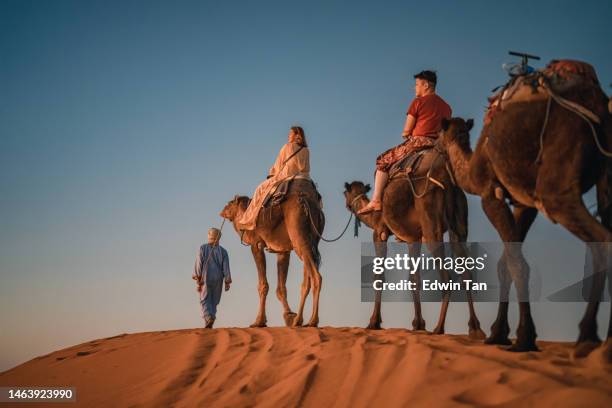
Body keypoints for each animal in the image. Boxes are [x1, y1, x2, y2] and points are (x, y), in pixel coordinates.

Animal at [220, 178, 326, 328]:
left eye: (229, 203)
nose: (222, 211)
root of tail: (310, 204)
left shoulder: (256, 244)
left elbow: (263, 285)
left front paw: (259, 321)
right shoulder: (282, 251)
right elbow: (281, 288)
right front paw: (289, 315)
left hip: (299, 237)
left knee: (316, 277)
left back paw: (312, 321)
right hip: (312, 240)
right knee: (307, 280)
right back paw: (299, 320)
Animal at [344, 148, 488, 340]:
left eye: (345, 193)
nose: (347, 205)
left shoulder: (379, 232)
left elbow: (379, 277)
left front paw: (374, 322)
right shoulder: (414, 239)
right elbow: (414, 278)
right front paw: (418, 324)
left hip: (430, 218)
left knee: (446, 276)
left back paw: (439, 328)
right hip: (459, 224)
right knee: (466, 272)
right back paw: (475, 328)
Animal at [438, 60, 612, 356]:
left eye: (439, 132)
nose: (431, 145)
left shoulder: (490, 196)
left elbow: (516, 263)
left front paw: (524, 337)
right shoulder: (522, 203)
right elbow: (505, 262)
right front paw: (498, 333)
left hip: (557, 187)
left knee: (602, 240)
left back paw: (588, 338)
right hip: (606, 178)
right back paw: (605, 340)